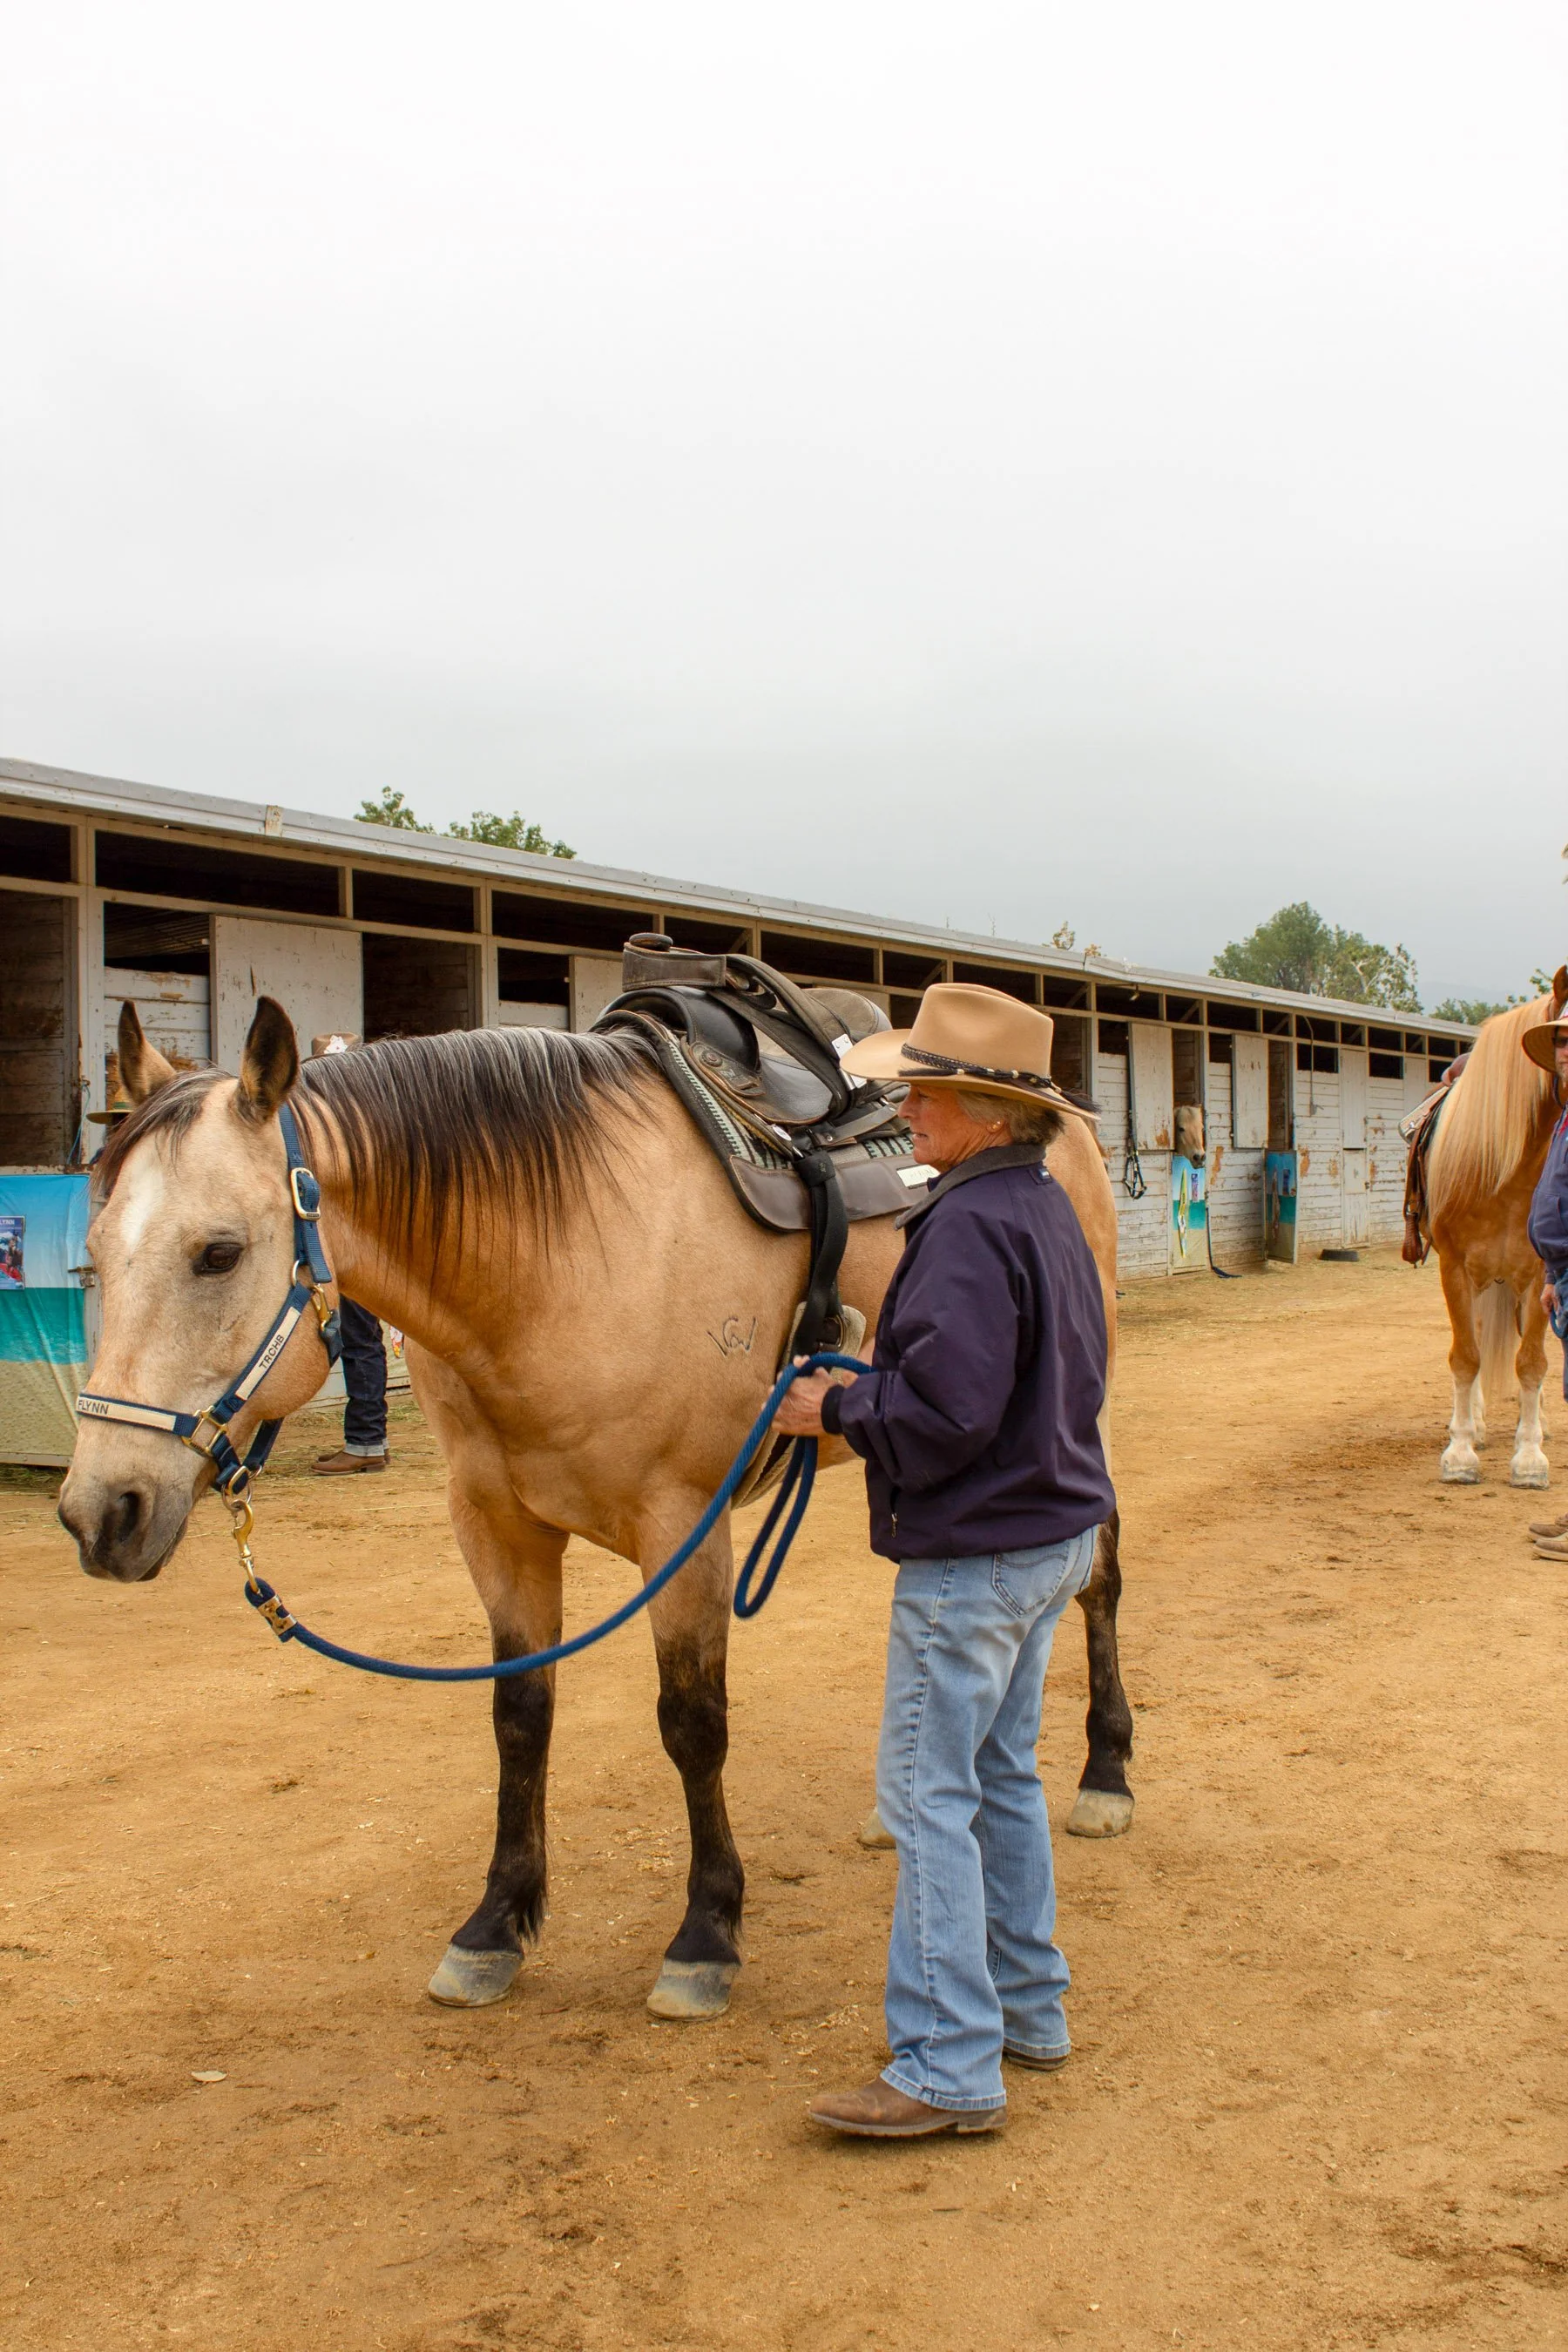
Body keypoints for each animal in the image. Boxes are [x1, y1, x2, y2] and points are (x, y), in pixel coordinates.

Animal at [58, 995, 1134, 2022]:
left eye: (218, 1253)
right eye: (97, 1254)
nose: (100, 1513)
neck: (557, 1258)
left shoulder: (685, 1527)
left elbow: (692, 1723)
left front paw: (704, 1939)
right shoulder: (494, 1525)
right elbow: (519, 1715)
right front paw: (494, 1925)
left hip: (1080, 1403)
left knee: (1096, 1578)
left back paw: (1105, 1775)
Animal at [1422, 975, 1566, 1486]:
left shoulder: (1541, 1274)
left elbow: (1532, 1361)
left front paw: (1530, 1456)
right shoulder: (1454, 1269)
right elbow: (1466, 1356)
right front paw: (1461, 1452)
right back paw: (1477, 1425)